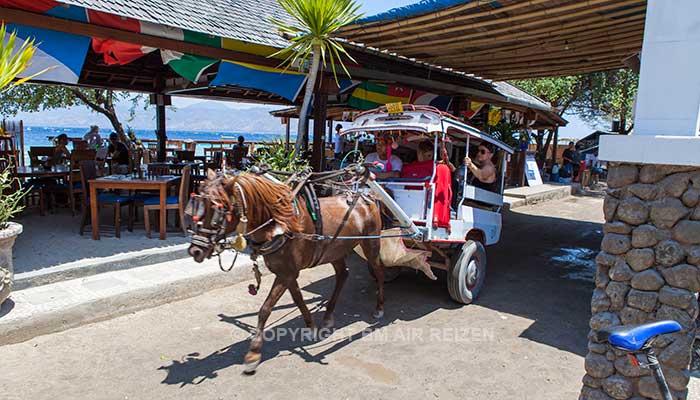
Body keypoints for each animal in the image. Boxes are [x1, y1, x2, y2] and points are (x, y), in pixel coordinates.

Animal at [187, 170, 382, 372]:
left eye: (218, 210)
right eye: (194, 205)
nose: (195, 251)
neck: (278, 226)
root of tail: (367, 197)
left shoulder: (286, 274)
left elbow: (265, 309)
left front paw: (253, 352)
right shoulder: (287, 273)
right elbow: (299, 300)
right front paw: (311, 328)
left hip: (371, 243)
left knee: (378, 271)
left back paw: (379, 308)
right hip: (334, 251)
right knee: (343, 275)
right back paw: (328, 318)